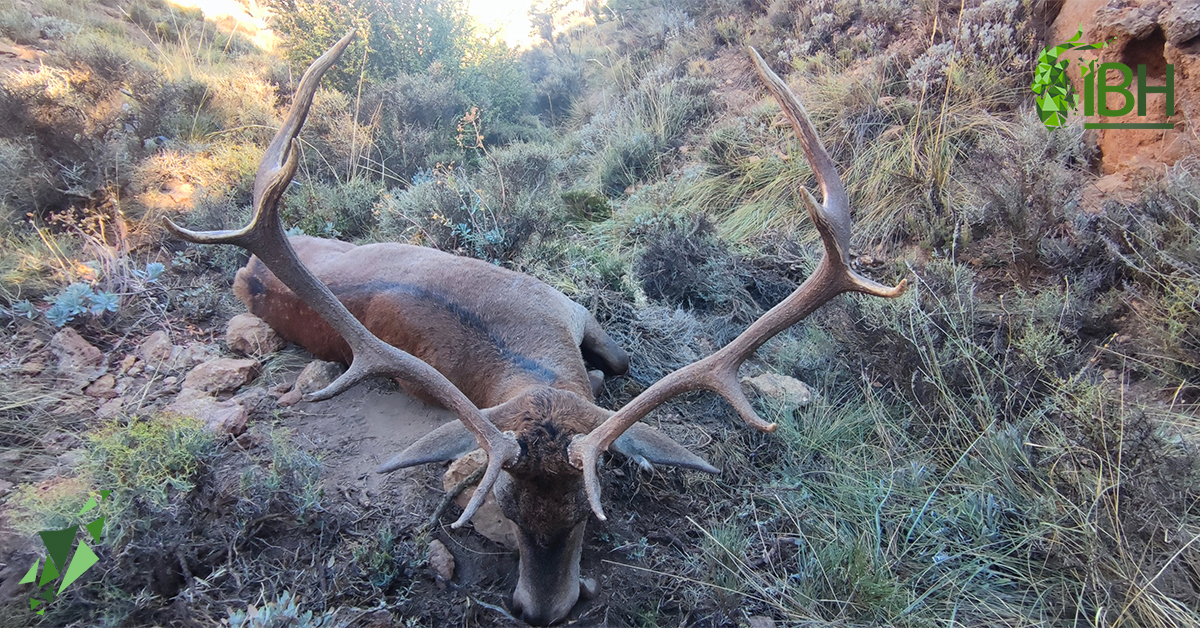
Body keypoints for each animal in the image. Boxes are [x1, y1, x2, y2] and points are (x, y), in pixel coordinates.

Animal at [165, 30, 907, 626]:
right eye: (509, 511)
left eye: (588, 512)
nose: (543, 610)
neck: (533, 358)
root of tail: (248, 266)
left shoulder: (574, 309)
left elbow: (624, 365)